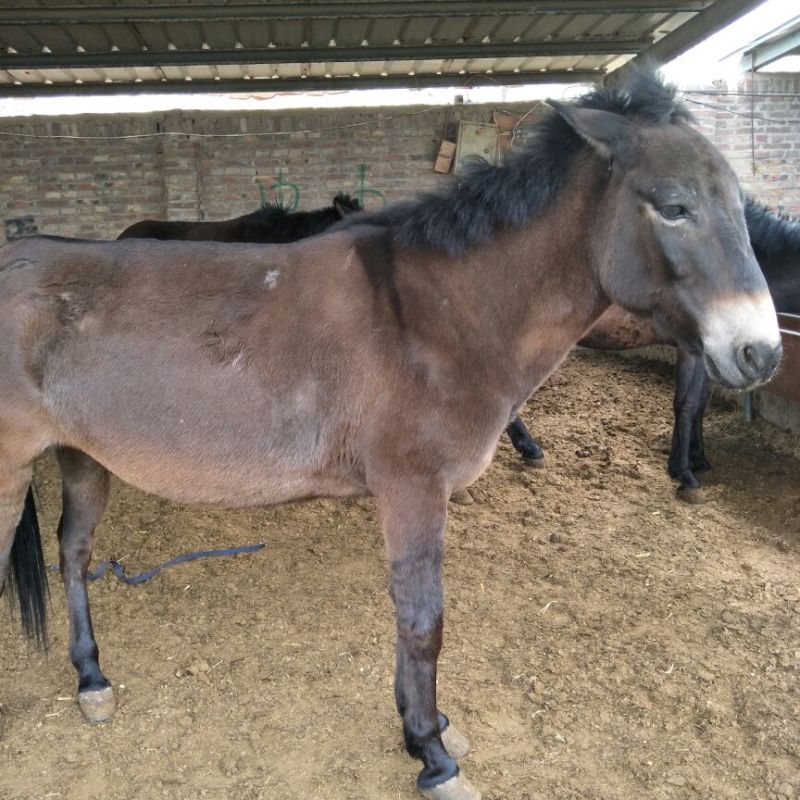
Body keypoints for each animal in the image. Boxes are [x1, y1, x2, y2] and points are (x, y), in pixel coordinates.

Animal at [505, 197, 800, 502]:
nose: (768, 359)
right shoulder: (693, 351)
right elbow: (687, 403)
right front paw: (684, 472)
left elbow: (700, 401)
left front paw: (697, 458)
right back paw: (528, 447)